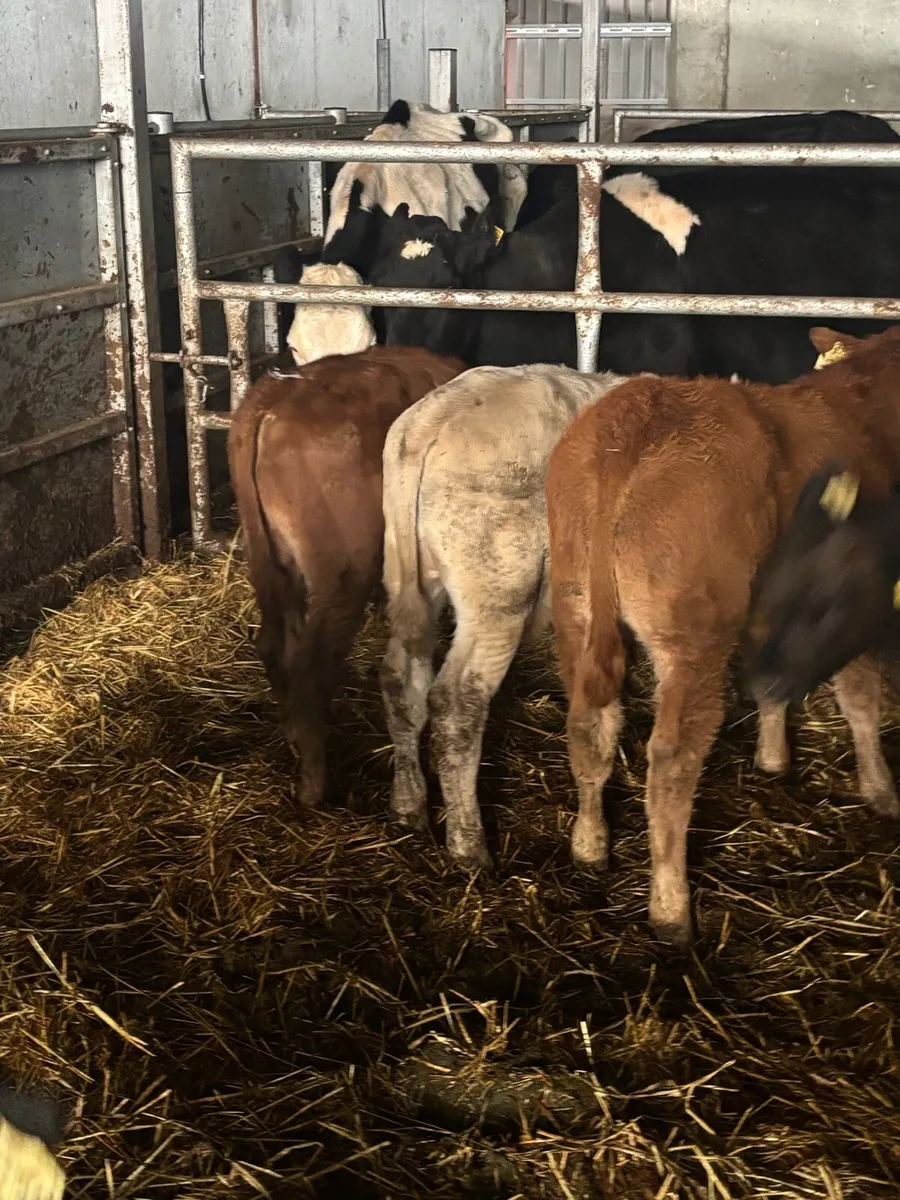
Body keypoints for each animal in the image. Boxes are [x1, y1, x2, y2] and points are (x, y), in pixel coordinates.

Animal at [227, 345, 464, 808]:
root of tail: (273, 398)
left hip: (271, 561)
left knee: (274, 643)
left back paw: (293, 738)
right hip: (343, 571)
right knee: (310, 664)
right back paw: (315, 786)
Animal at [379, 363, 633, 868]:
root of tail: (432, 419)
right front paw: (593, 843)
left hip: (409, 576)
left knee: (401, 679)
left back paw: (409, 806)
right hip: (498, 588)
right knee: (456, 701)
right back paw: (468, 845)